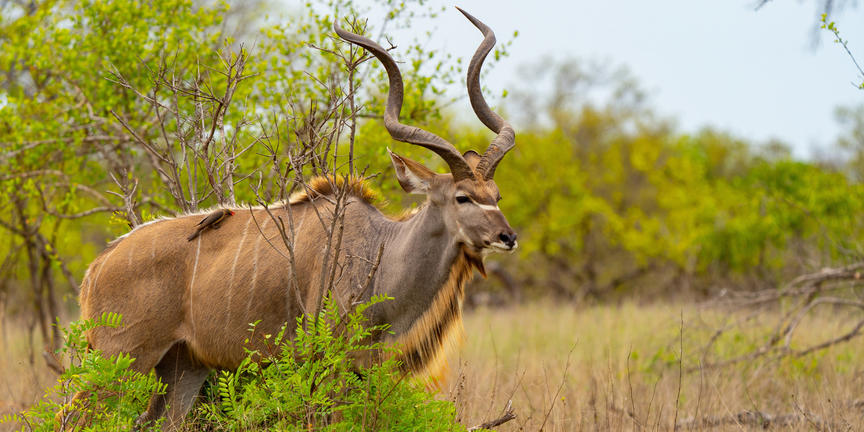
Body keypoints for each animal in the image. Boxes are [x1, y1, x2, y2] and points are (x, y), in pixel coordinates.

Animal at [64, 8, 517, 431]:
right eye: (462, 197)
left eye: (496, 195)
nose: (507, 237)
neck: (381, 248)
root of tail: (97, 266)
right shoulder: (331, 362)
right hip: (120, 360)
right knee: (72, 415)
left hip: (183, 366)